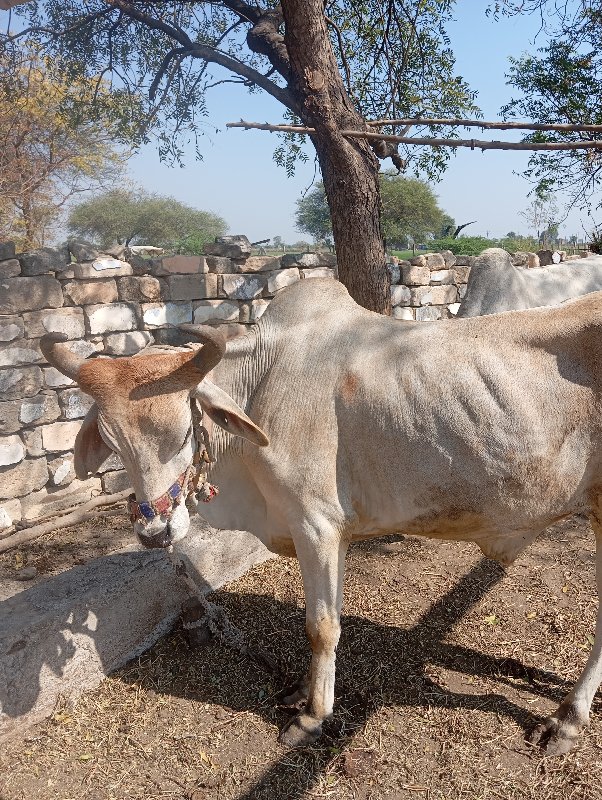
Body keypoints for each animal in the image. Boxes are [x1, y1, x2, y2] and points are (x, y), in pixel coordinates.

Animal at [43, 278, 602, 752]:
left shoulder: (317, 525)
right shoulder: (320, 532)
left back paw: (566, 721)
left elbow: (322, 626)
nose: (156, 530)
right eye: (112, 442)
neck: (261, 384)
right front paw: (302, 692)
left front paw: (314, 715)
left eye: (184, 430)